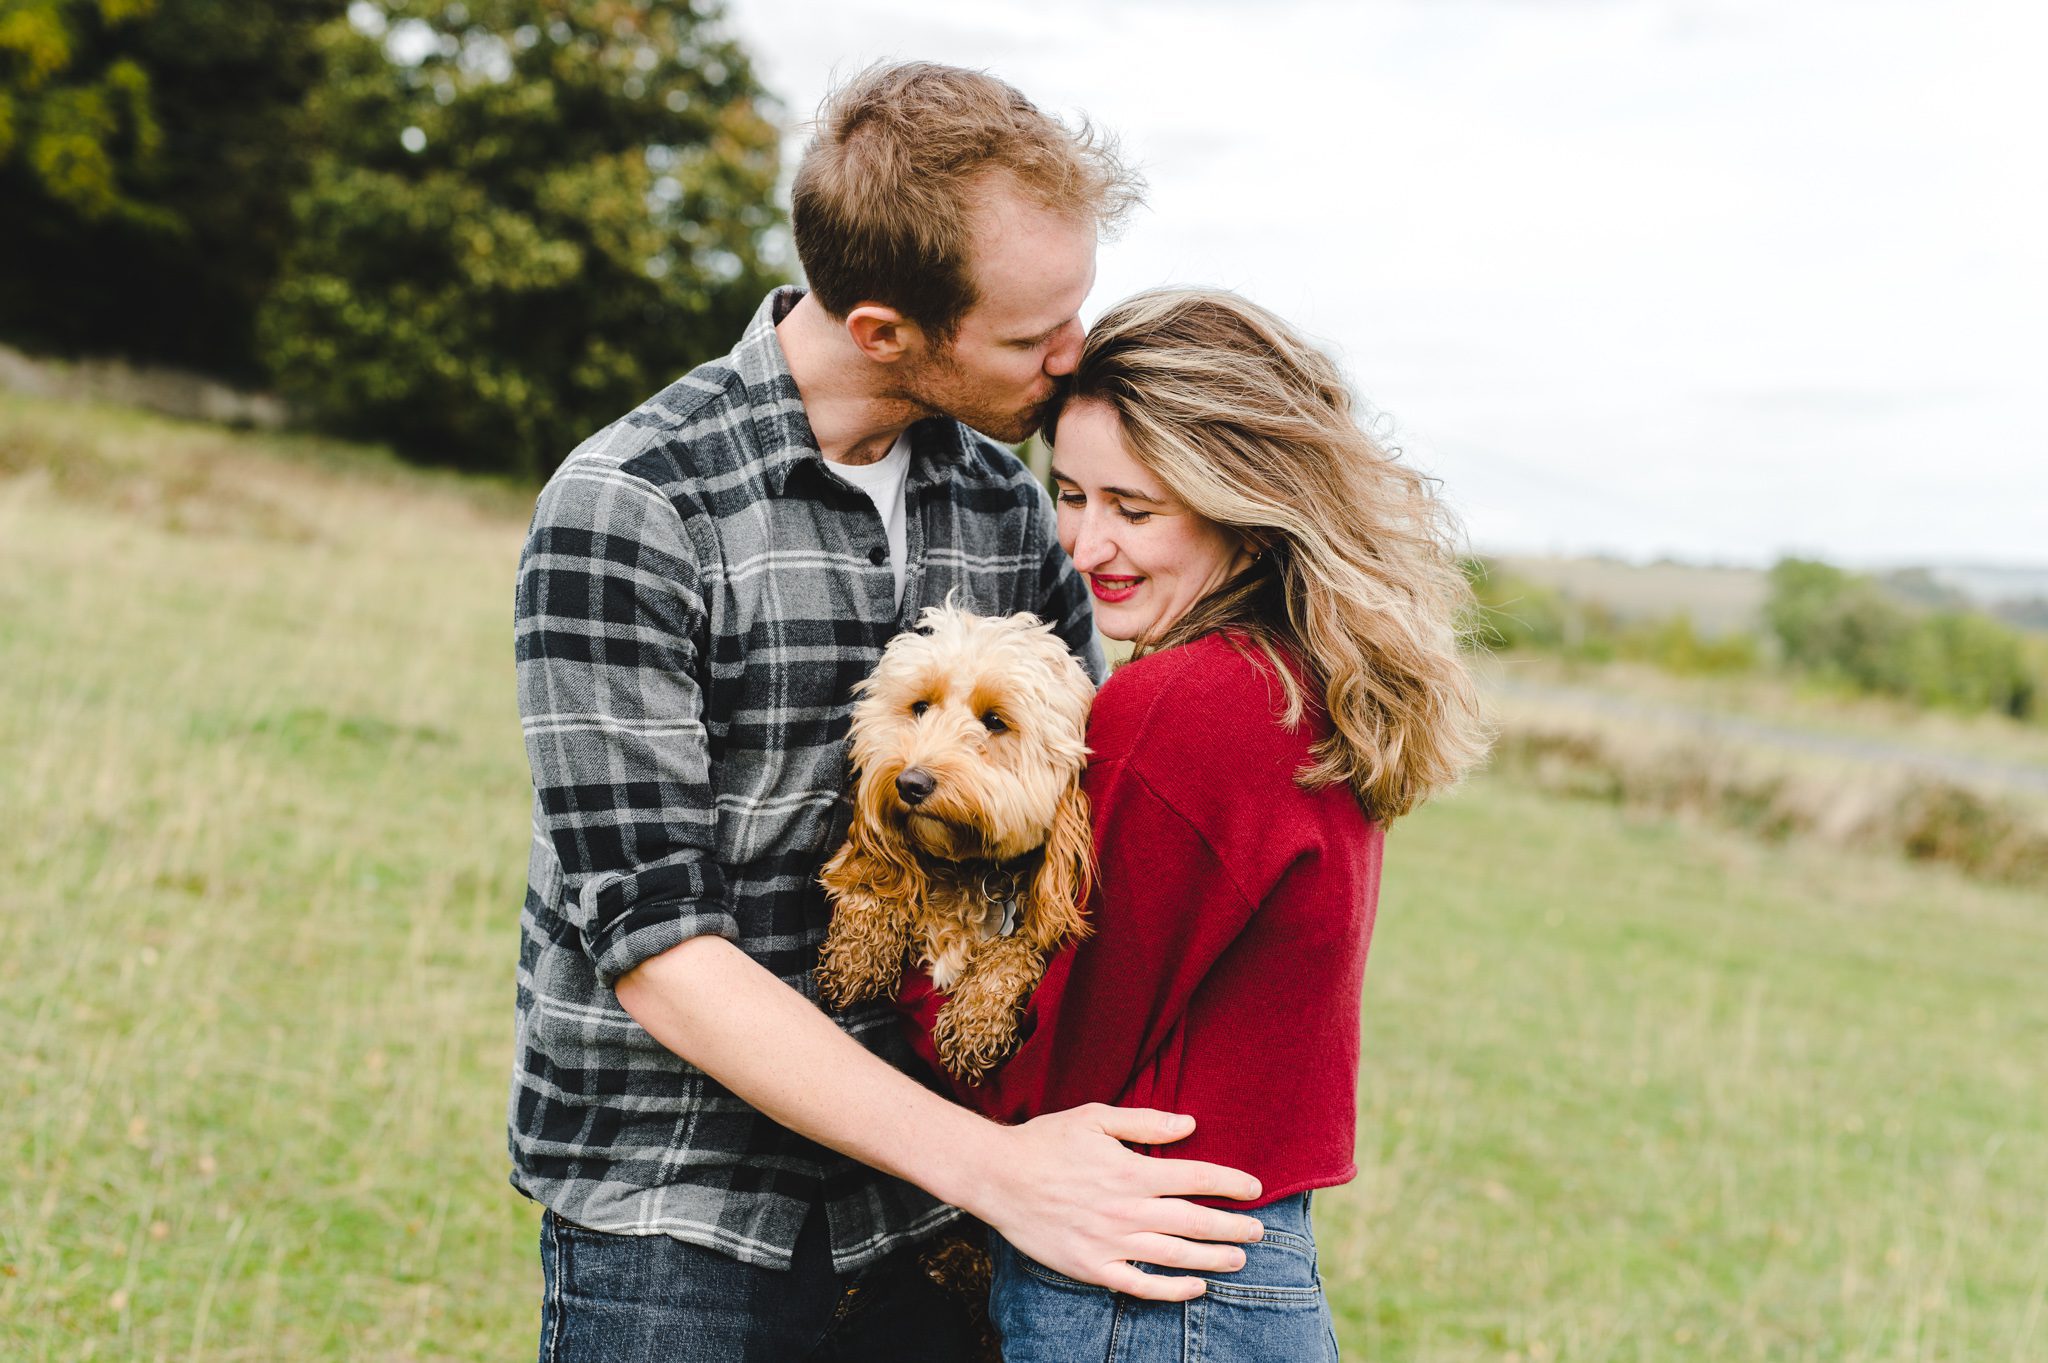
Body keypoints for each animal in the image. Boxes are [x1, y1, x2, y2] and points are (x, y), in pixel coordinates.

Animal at [819, 601, 1105, 1080]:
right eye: (920, 707)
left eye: (995, 722)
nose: (911, 783)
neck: (967, 871)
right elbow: (881, 877)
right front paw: (859, 948)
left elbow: (1021, 944)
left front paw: (979, 1015)